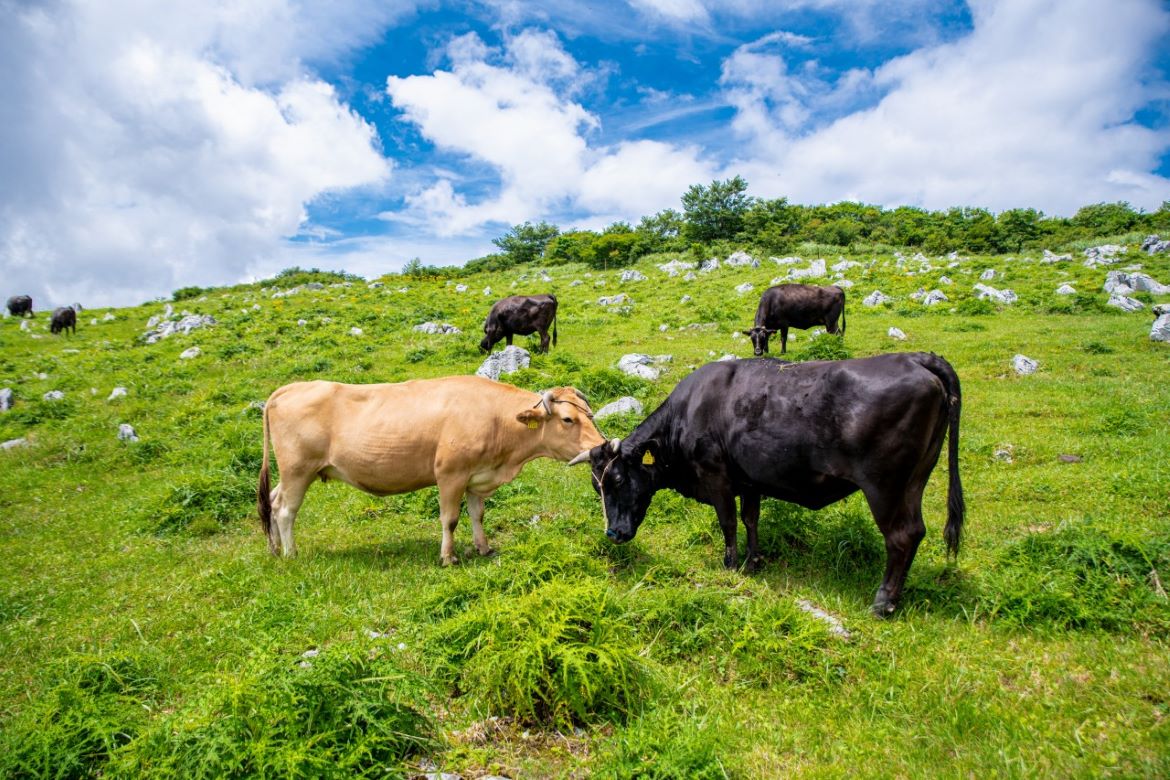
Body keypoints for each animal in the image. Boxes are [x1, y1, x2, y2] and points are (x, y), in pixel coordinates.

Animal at [256, 376, 603, 563]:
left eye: (590, 414)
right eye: (568, 419)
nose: (601, 445)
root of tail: (288, 389)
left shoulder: (477, 478)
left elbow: (477, 515)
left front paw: (483, 548)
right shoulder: (450, 474)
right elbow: (450, 519)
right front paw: (448, 557)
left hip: (293, 473)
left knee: (272, 502)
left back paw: (274, 548)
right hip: (298, 469)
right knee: (286, 509)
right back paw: (290, 553)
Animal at [570, 353, 964, 617]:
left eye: (617, 479)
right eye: (596, 486)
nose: (614, 534)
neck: (688, 412)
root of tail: (916, 358)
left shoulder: (717, 477)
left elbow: (728, 521)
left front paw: (730, 563)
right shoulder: (750, 481)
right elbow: (751, 519)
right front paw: (754, 560)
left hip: (885, 488)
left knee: (900, 537)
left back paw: (883, 602)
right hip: (915, 481)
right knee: (916, 531)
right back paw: (896, 597)